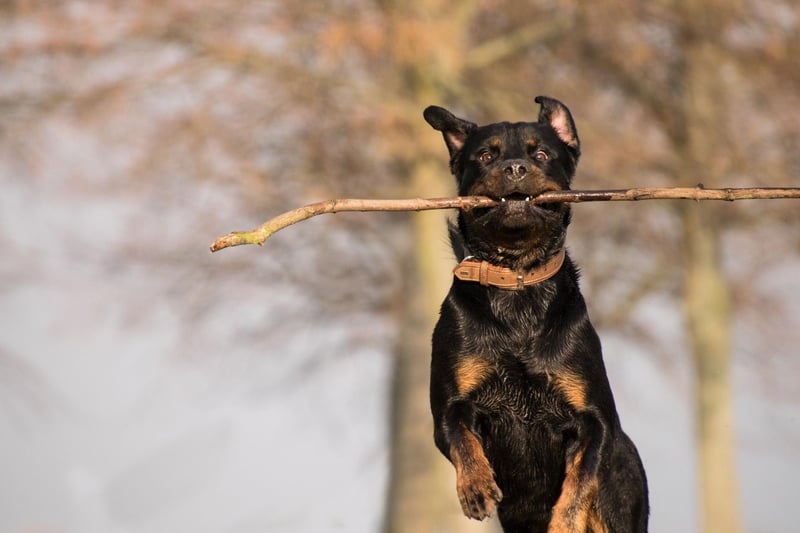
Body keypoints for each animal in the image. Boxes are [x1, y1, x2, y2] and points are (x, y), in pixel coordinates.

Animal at [424, 96, 648, 532]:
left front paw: (565, 522)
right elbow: (460, 435)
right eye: (486, 155)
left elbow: (580, 480)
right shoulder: (449, 404)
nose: (514, 167)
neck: (518, 279)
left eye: (541, 154)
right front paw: (476, 486)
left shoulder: (594, 420)